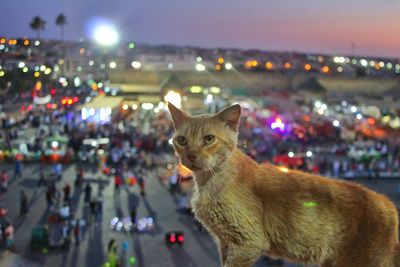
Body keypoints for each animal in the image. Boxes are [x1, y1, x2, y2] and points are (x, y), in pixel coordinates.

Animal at [167, 102, 400, 267]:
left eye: (209, 139)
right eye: (181, 140)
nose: (190, 156)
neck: (207, 181)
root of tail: (389, 204)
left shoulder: (248, 242)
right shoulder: (225, 242)